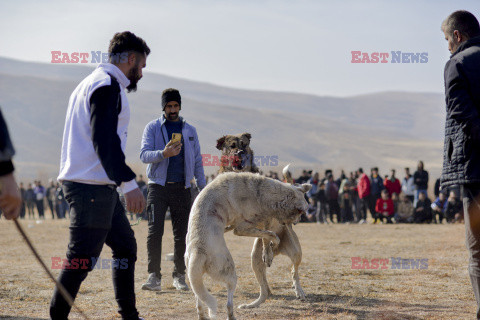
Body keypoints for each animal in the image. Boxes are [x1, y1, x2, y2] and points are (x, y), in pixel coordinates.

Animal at [184, 172, 312, 320]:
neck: (261, 192)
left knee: (199, 300)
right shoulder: (241, 228)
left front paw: (268, 252)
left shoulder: (252, 223)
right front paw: (273, 244)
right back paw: (233, 315)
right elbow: (270, 234)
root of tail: (198, 252)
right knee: (229, 303)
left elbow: (266, 234)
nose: (298, 222)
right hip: (231, 272)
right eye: (301, 213)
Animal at [216, 132, 306, 308]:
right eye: (232, 146)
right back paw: (252, 303)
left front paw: (268, 252)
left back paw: (298, 290)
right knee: (264, 289)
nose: (240, 153)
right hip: (254, 260)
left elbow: (266, 234)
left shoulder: (266, 217)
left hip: (296, 251)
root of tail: (280, 250)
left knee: (294, 271)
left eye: (244, 145)